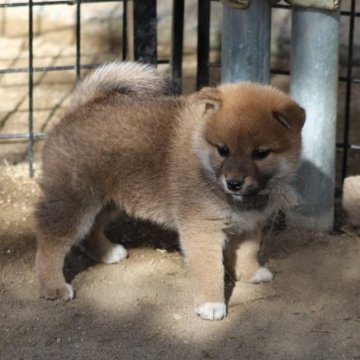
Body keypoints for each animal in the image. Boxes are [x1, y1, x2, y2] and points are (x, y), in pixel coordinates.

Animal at [35, 61, 306, 320]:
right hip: (75, 202)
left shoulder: (250, 224)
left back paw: (108, 252)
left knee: (89, 231)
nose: (234, 183)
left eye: (261, 153)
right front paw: (211, 304)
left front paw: (251, 273)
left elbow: (248, 252)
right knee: (51, 241)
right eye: (223, 150)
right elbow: (211, 269)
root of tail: (81, 107)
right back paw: (53, 286)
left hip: (108, 201)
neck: (203, 159)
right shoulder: (202, 229)